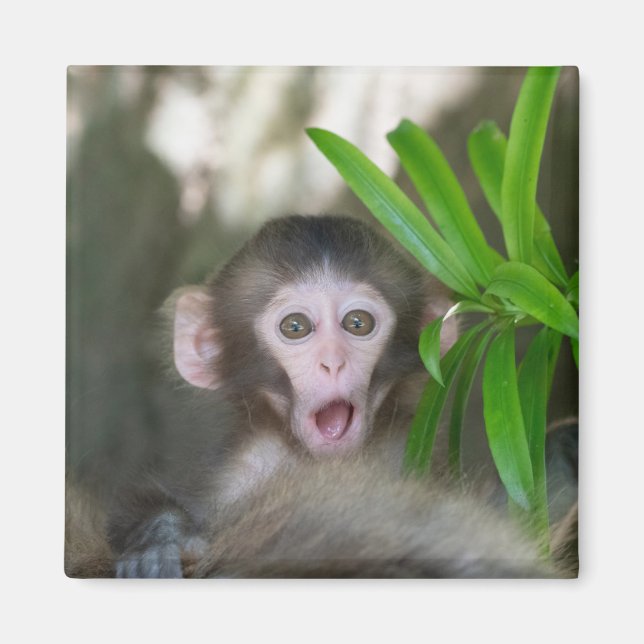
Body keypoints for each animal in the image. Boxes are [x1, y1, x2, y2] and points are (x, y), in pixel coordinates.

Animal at [77, 214, 575, 579]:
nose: (332, 362)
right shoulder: (238, 476)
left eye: (357, 323)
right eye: (296, 327)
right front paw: (157, 536)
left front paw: (564, 453)